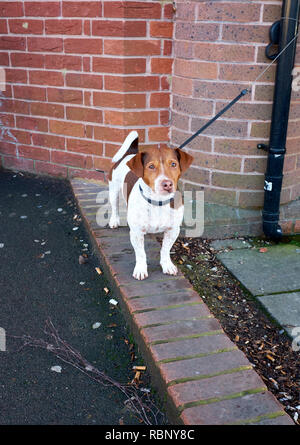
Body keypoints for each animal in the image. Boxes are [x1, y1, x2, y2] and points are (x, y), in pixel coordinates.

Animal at [107, 130, 192, 280]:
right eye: (151, 166)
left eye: (173, 164)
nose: (167, 184)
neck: (158, 202)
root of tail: (130, 153)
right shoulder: (136, 233)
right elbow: (141, 254)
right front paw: (141, 269)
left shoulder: (173, 230)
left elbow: (165, 250)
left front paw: (167, 265)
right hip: (113, 190)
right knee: (115, 207)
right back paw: (114, 220)